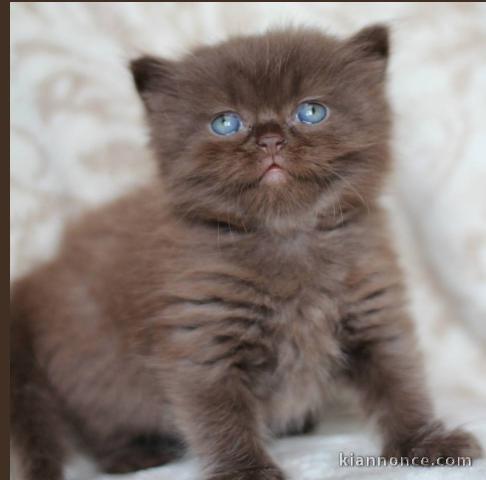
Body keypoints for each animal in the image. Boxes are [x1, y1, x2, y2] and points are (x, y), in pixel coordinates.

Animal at [10, 26, 482, 480]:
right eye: (226, 122)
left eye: (311, 112)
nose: (270, 138)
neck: (286, 236)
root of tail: (40, 275)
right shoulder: (203, 336)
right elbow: (221, 416)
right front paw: (246, 471)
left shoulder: (373, 313)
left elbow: (400, 385)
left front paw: (426, 443)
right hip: (93, 366)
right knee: (98, 424)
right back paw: (133, 454)